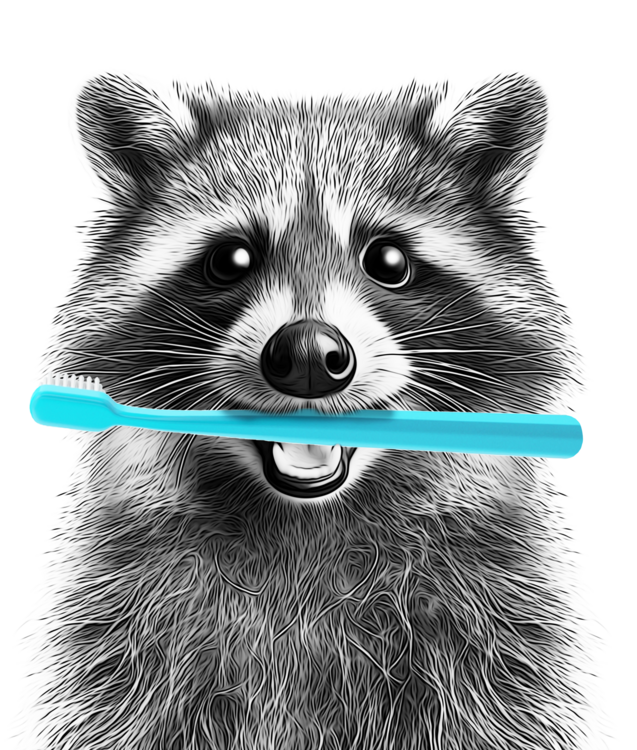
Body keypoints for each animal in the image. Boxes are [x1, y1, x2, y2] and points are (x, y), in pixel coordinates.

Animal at [35, 73, 587, 749]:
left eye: (389, 261)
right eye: (230, 260)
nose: (306, 356)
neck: (307, 524)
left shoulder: (488, 637)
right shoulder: (134, 641)